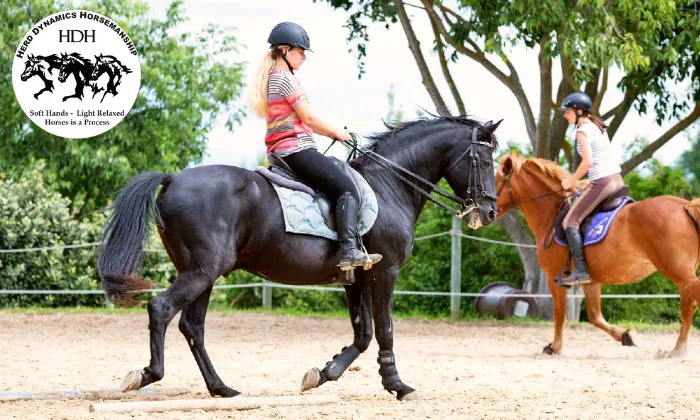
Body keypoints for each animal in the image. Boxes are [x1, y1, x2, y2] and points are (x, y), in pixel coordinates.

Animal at [97, 116, 502, 401]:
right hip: (201, 272)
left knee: (192, 327)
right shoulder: (384, 273)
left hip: (203, 274)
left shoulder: (356, 278)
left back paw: (222, 389)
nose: (489, 212)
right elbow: (384, 330)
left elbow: (363, 335)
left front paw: (322, 375)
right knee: (162, 309)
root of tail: (173, 179)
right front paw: (398, 385)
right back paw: (147, 375)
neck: (390, 187)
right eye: (483, 160)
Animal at [496, 152, 700, 357]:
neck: (552, 214)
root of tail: (684, 205)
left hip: (678, 272)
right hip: (683, 275)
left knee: (690, 303)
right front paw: (627, 336)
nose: (488, 212)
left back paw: (678, 350)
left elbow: (559, 314)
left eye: (496, 180)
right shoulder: (590, 282)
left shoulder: (554, 277)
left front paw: (555, 347)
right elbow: (595, 317)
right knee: (689, 304)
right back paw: (678, 349)